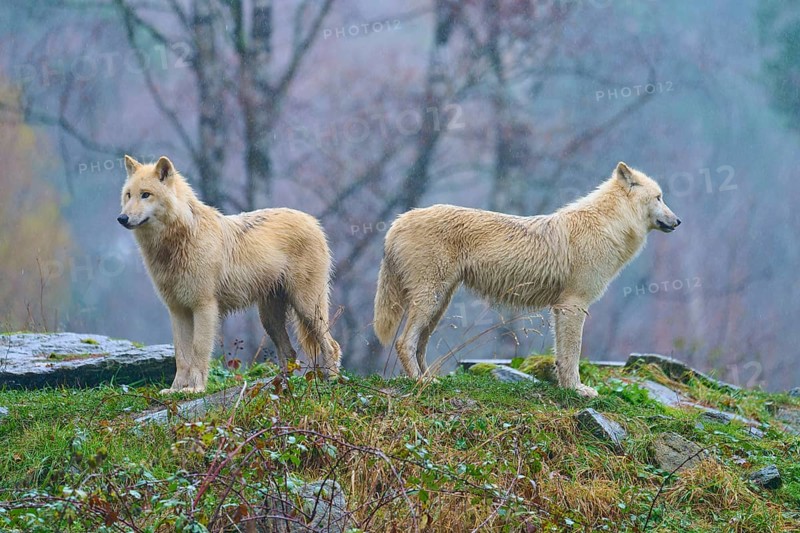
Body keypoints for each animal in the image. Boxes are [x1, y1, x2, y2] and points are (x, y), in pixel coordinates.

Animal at [118, 155, 341, 393]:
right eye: (128, 195)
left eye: (146, 194)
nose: (122, 218)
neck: (179, 240)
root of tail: (313, 221)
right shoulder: (178, 311)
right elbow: (182, 356)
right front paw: (176, 390)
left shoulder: (204, 307)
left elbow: (198, 351)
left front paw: (195, 388)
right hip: (269, 319)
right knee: (289, 352)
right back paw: (280, 388)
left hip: (306, 307)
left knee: (331, 345)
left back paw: (332, 381)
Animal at [373, 162, 680, 397]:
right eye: (659, 197)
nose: (678, 221)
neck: (608, 226)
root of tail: (397, 222)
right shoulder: (573, 305)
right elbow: (572, 354)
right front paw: (577, 390)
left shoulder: (561, 308)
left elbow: (561, 355)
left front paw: (567, 388)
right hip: (430, 300)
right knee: (404, 342)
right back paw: (420, 382)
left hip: (439, 304)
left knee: (419, 346)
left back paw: (431, 379)